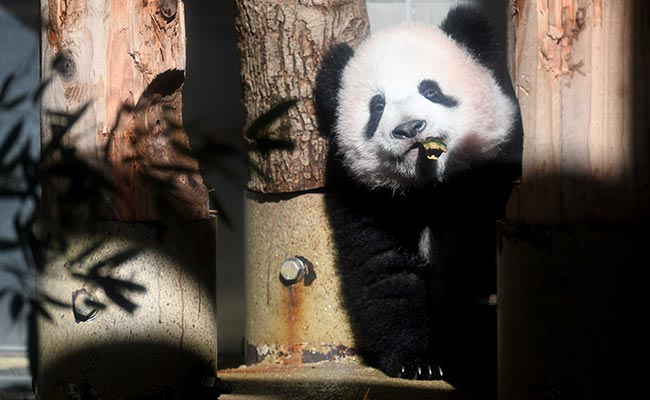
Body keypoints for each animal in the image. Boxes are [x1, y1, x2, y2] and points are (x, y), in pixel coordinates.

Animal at [314, 4, 520, 390]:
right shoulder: (366, 196)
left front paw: (468, 355)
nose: (410, 128)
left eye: (431, 90)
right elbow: (384, 269)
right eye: (377, 106)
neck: (427, 188)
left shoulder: (493, 169)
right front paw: (419, 361)